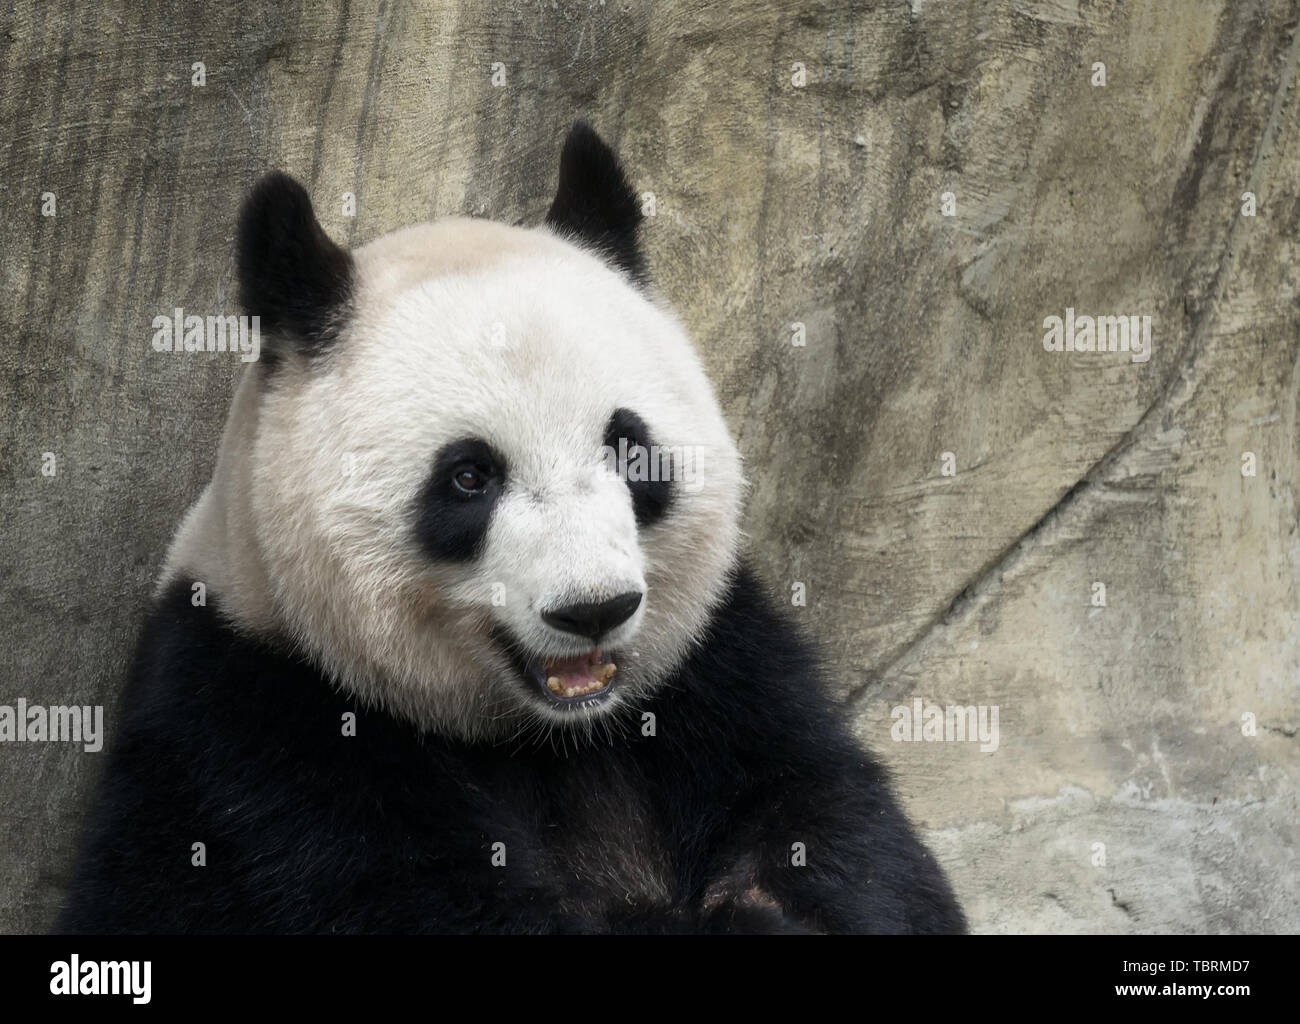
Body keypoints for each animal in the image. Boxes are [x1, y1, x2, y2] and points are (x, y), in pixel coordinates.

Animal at [59, 122, 965, 935]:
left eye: (627, 447)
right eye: (469, 476)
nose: (592, 610)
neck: (549, 739)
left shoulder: (725, 670)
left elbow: (840, 837)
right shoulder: (265, 748)